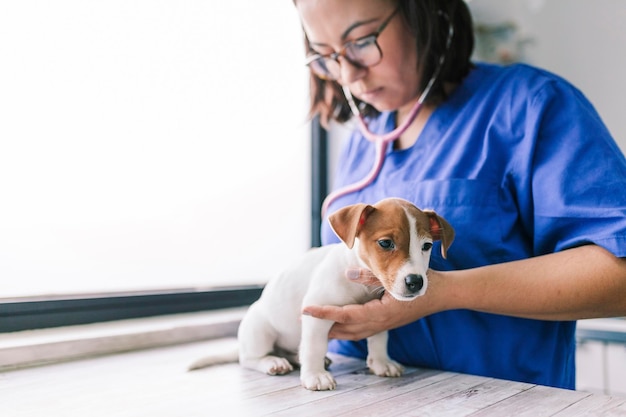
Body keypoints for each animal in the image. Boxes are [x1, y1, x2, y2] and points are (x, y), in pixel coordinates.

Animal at [186, 197, 454, 390]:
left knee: (295, 350)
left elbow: (379, 338)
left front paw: (380, 362)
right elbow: (315, 347)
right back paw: (273, 362)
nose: (415, 282)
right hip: (259, 330)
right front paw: (315, 376)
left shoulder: (378, 315)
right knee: (250, 358)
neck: (361, 282)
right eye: (386, 243)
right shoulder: (316, 314)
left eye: (426, 246)